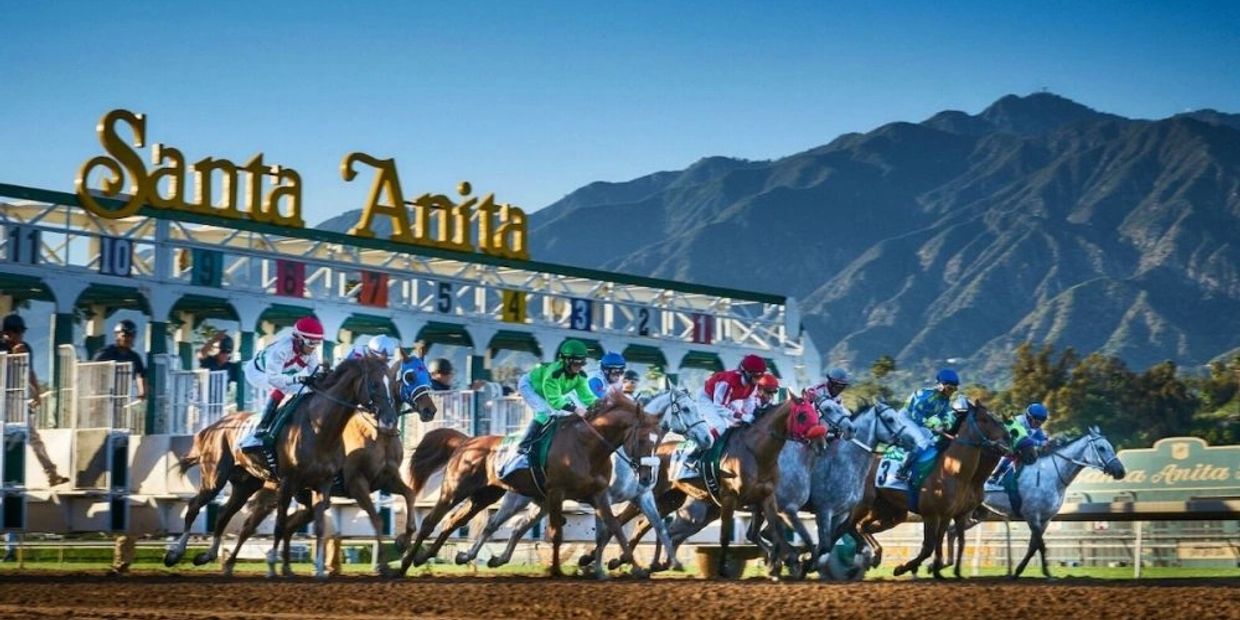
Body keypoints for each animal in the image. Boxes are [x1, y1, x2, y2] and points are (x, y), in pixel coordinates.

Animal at [164, 357, 394, 577]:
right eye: (375, 384)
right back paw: (175, 553)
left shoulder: (324, 484)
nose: (389, 420)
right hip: (214, 478)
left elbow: (319, 527)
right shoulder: (288, 482)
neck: (319, 428)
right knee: (194, 507)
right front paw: (272, 565)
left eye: (391, 382)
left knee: (223, 514)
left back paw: (208, 555)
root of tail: (212, 427)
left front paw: (319, 569)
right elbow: (280, 525)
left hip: (246, 485)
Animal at [401, 394, 664, 577]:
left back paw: (430, 556)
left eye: (657, 440)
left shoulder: (598, 495)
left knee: (454, 522)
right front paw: (556, 570)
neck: (587, 446)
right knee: (430, 521)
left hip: (485, 495)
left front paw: (637, 569)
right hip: (455, 489)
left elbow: (615, 528)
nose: (646, 477)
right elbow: (556, 533)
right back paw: (404, 564)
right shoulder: (556, 492)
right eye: (642, 439)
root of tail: (467, 441)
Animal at [947, 424, 1125, 577]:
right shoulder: (1032, 515)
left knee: (952, 532)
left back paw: (948, 566)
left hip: (976, 515)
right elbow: (1041, 545)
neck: (1051, 475)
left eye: (1109, 446)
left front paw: (1018, 571)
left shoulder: (1045, 519)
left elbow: (1033, 546)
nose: (1120, 471)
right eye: (1101, 448)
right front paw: (1047, 573)